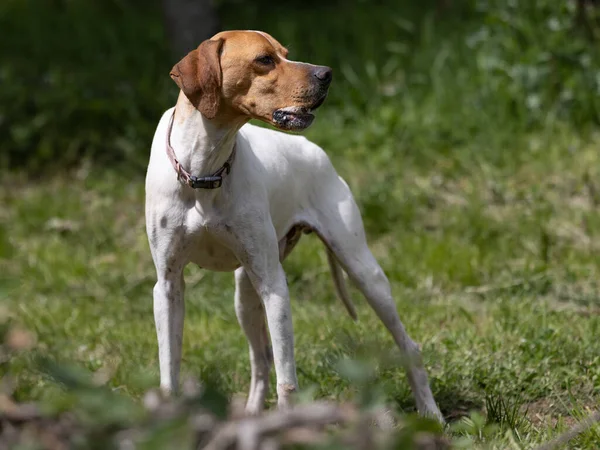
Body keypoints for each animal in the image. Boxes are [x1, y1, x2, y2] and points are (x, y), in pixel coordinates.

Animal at [144, 29, 446, 420]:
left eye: (285, 53)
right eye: (264, 59)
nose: (326, 73)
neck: (204, 170)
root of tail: (317, 153)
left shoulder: (275, 285)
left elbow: (287, 380)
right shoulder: (168, 286)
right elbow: (170, 373)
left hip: (364, 273)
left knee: (408, 345)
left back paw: (431, 413)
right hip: (245, 295)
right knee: (260, 361)